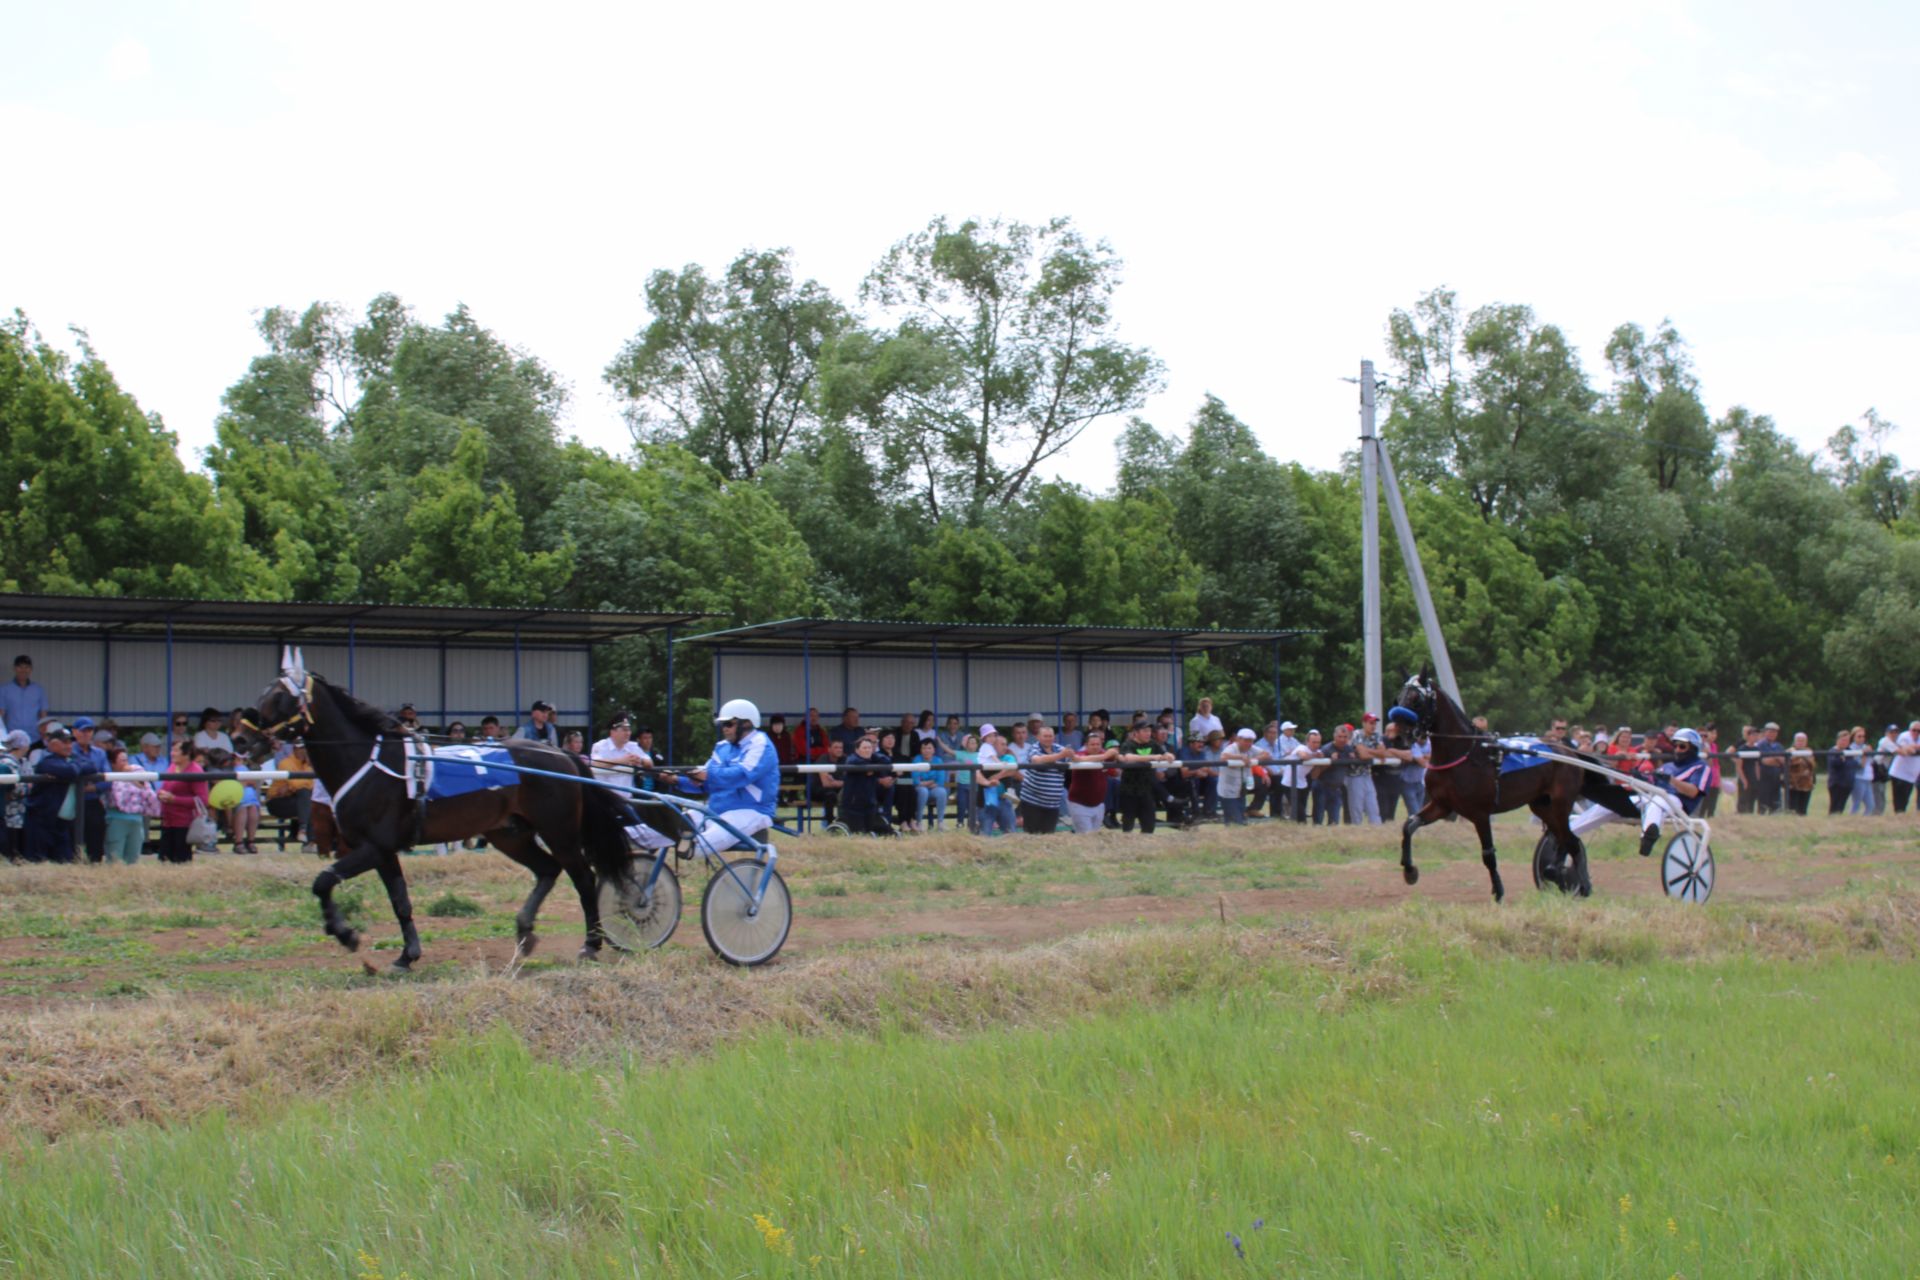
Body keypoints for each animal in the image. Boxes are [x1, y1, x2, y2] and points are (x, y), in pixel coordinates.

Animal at [240, 652, 637, 971]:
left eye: (279, 696)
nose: (243, 739)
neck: (370, 762)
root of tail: (562, 754)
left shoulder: (373, 847)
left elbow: (323, 881)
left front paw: (345, 934)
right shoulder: (382, 851)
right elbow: (399, 901)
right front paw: (406, 955)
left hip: (559, 831)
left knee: (583, 878)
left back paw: (591, 943)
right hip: (510, 835)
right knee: (548, 870)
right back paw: (525, 932)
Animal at [1397, 671, 1635, 901]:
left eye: (1416, 699)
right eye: (1400, 697)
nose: (1400, 734)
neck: (1464, 753)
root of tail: (1570, 752)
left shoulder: (1479, 812)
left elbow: (1488, 853)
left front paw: (1499, 892)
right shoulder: (1442, 805)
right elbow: (1408, 826)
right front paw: (1410, 871)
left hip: (1561, 802)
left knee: (1571, 841)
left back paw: (1579, 883)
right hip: (1541, 805)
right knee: (1566, 838)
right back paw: (1557, 873)